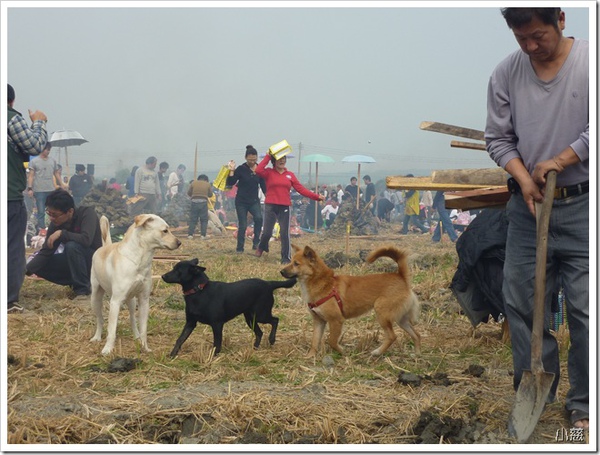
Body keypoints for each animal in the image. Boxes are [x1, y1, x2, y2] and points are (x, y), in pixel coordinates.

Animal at [89, 215, 180, 356]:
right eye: (165, 231)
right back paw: (97, 337)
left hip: (131, 301)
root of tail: (105, 246)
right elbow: (111, 330)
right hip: (95, 298)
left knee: (132, 319)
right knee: (100, 319)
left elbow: (143, 328)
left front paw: (144, 347)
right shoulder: (115, 302)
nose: (179, 242)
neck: (139, 260)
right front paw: (108, 349)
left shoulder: (144, 300)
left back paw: (136, 336)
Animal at [162, 258, 298, 358]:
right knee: (259, 332)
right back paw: (255, 348)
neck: (199, 290)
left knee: (275, 320)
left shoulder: (217, 324)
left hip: (260, 314)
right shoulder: (190, 323)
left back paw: (272, 339)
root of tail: (269, 284)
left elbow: (217, 342)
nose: (163, 276)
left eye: (178, 270)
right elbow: (180, 339)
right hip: (250, 318)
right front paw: (172, 354)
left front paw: (214, 356)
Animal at [282, 244, 422, 358]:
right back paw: (416, 354)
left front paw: (342, 351)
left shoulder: (336, 320)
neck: (325, 284)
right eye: (291, 261)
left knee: (392, 336)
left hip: (382, 314)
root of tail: (401, 277)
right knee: (416, 335)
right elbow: (315, 341)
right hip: (401, 319)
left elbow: (332, 341)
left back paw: (377, 352)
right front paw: (310, 356)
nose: (281, 271)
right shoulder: (319, 321)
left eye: (296, 264)